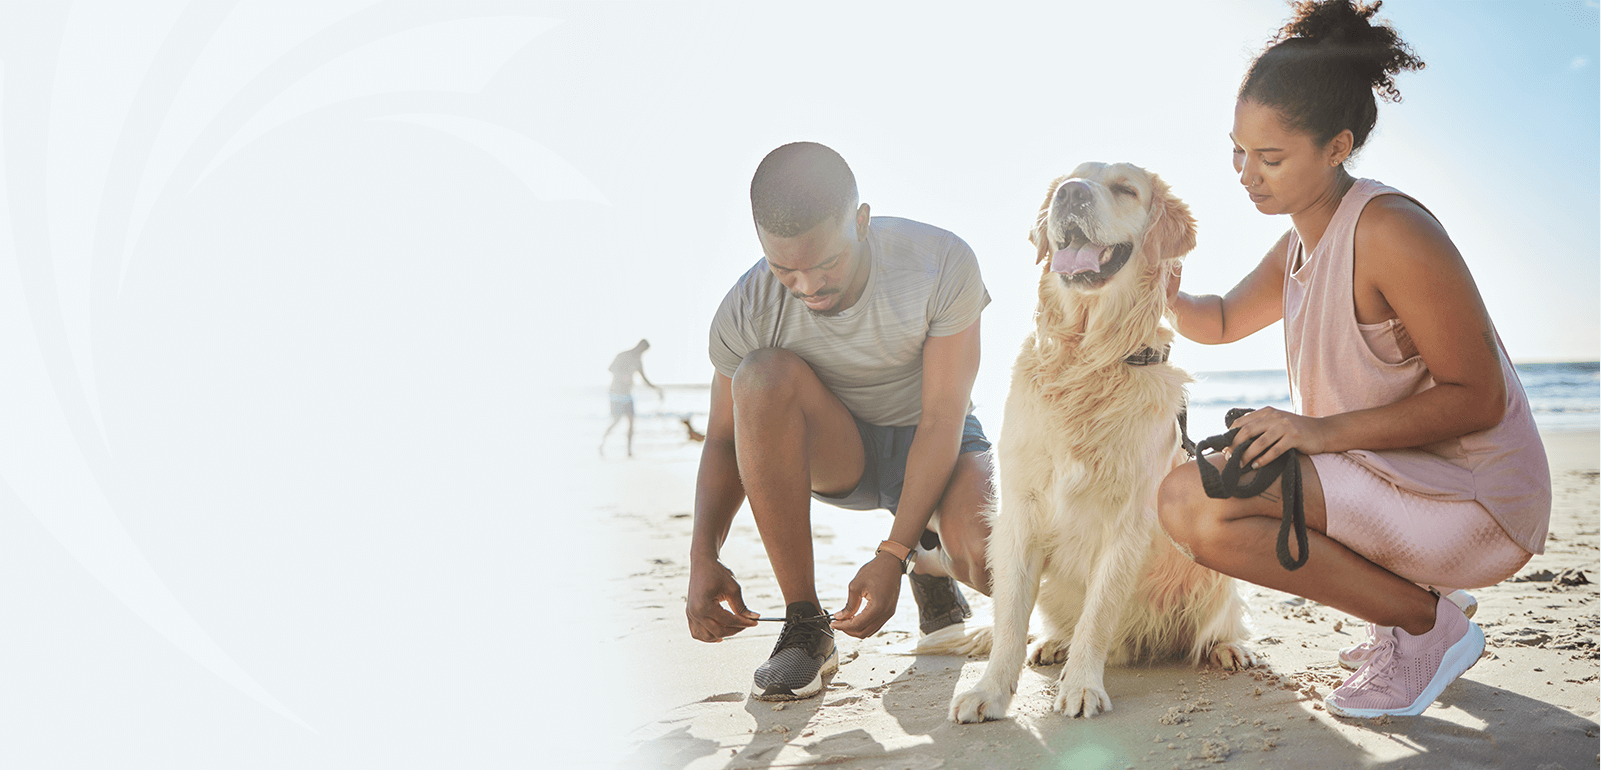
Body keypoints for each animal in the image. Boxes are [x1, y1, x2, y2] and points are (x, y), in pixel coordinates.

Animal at [928, 160, 1248, 720]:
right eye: (1065, 182)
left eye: (1125, 189)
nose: (1071, 195)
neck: (1086, 357)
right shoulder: (1020, 512)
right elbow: (1010, 620)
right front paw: (990, 690)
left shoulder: (1128, 521)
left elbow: (1098, 613)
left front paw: (1081, 686)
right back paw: (1051, 644)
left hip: (1215, 572)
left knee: (1217, 622)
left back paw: (1226, 647)